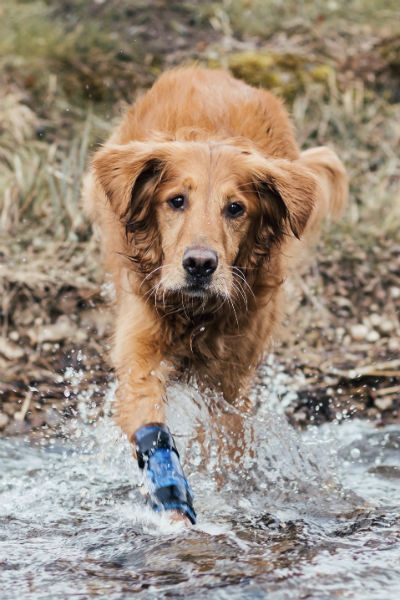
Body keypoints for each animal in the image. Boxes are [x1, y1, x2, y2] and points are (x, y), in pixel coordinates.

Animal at [83, 67, 348, 524]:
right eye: (176, 201)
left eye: (235, 208)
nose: (200, 265)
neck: (195, 312)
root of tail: (213, 72)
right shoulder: (140, 352)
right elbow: (151, 427)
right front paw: (170, 496)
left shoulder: (226, 383)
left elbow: (225, 444)